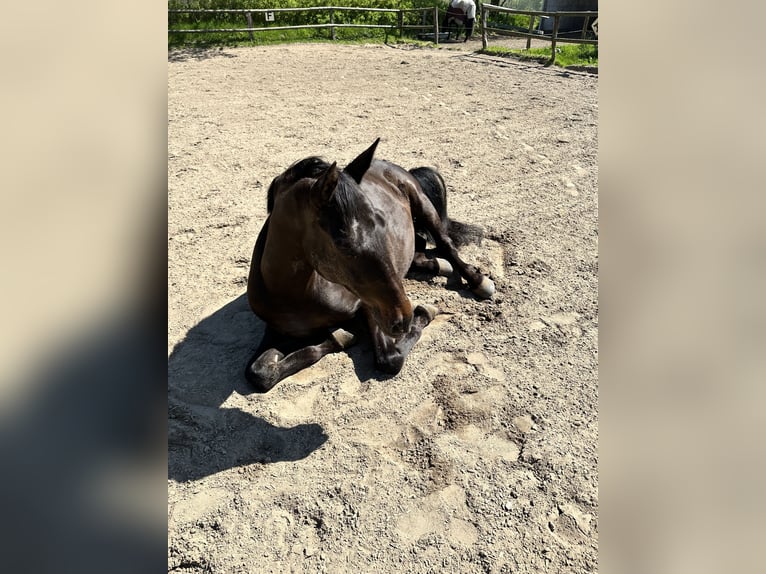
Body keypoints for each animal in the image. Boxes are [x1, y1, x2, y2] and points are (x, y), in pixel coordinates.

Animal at [246, 138, 498, 394]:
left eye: (381, 222)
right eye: (342, 242)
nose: (404, 317)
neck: (298, 295)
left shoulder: (369, 305)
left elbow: (389, 359)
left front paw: (424, 312)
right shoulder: (277, 331)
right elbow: (259, 373)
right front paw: (340, 336)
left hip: (421, 203)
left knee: (444, 242)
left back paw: (477, 281)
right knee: (419, 246)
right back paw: (437, 265)